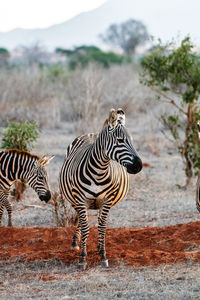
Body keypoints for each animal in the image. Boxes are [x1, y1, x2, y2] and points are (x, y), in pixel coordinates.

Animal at [59, 108, 142, 270]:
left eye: (132, 140)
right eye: (120, 140)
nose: (139, 166)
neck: (99, 170)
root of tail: (92, 133)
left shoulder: (107, 200)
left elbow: (102, 227)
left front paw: (103, 255)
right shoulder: (81, 200)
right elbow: (86, 227)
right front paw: (82, 259)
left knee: (97, 221)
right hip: (74, 200)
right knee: (81, 219)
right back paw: (76, 242)